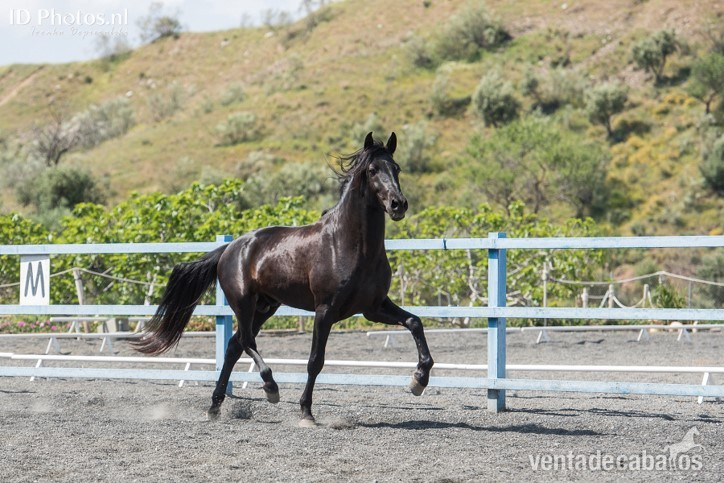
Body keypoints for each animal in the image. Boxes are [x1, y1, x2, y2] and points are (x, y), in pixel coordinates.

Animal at [133, 132, 434, 427]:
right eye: (372, 170)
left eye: (397, 168)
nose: (398, 204)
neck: (350, 245)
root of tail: (229, 248)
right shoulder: (325, 311)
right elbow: (315, 361)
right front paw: (306, 413)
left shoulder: (373, 307)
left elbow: (414, 322)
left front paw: (418, 381)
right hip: (243, 303)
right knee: (246, 341)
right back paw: (270, 388)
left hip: (266, 307)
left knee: (233, 346)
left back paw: (215, 407)